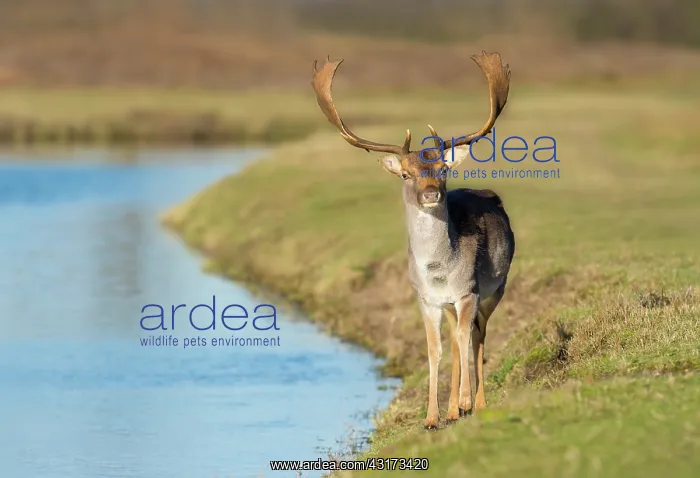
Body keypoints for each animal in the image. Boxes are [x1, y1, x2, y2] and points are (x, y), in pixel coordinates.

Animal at [311, 51, 515, 430]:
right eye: (406, 174)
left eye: (443, 170)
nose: (431, 194)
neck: (439, 271)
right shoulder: (426, 299)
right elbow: (434, 349)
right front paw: (432, 416)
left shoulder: (469, 291)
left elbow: (465, 337)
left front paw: (466, 401)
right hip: (452, 304)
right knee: (457, 340)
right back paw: (453, 409)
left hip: (497, 287)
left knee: (478, 335)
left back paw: (475, 403)